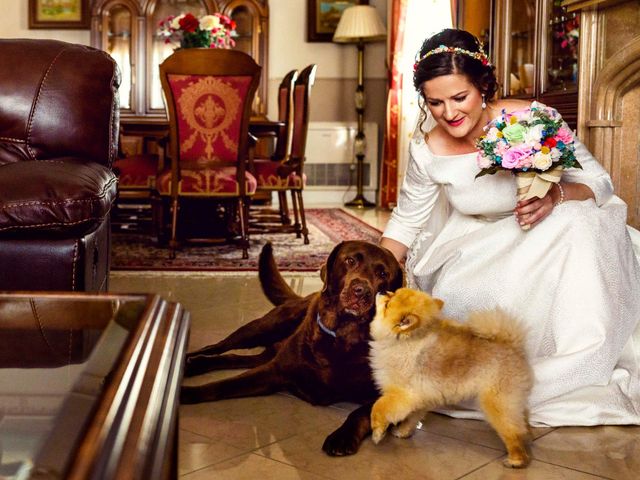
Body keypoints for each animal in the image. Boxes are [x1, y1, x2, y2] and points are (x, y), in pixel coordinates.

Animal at [368, 286, 532, 466]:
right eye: (393, 292)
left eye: (388, 303)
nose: (383, 290)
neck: (403, 341)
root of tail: (513, 347)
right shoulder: (419, 397)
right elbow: (411, 417)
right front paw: (403, 432)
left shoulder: (401, 394)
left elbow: (378, 407)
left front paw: (377, 432)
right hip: (513, 399)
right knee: (523, 421)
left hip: (497, 402)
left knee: (513, 432)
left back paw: (515, 460)